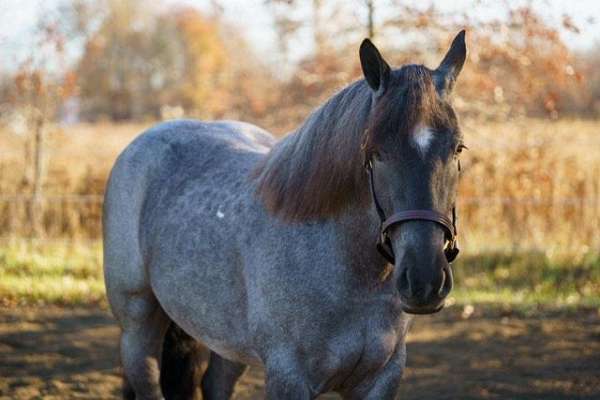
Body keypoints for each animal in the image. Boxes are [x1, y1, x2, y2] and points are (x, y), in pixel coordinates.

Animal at [103, 29, 468, 398]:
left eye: (457, 148)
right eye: (375, 153)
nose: (424, 280)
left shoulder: (382, 378)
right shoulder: (289, 378)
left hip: (226, 339)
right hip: (138, 325)